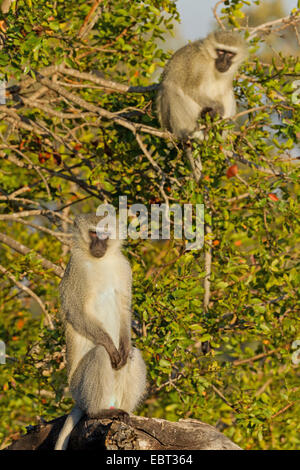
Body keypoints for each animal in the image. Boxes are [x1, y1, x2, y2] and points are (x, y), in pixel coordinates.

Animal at [55, 215, 148, 450]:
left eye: (105, 234)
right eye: (93, 233)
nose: (98, 246)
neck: (100, 262)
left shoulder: (124, 267)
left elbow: (124, 309)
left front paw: (123, 347)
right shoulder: (76, 267)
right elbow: (75, 311)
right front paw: (111, 347)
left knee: (133, 354)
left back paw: (127, 413)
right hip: (78, 389)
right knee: (99, 353)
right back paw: (98, 411)